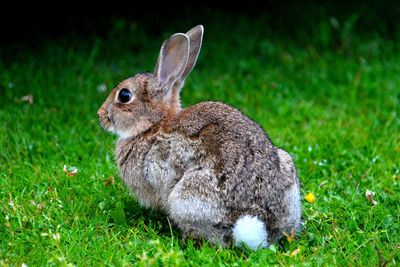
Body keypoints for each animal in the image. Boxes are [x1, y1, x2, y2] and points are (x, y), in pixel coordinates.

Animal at [98, 25, 302, 251]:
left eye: (124, 96)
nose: (100, 115)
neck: (152, 125)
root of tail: (261, 224)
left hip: (187, 196)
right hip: (286, 165)